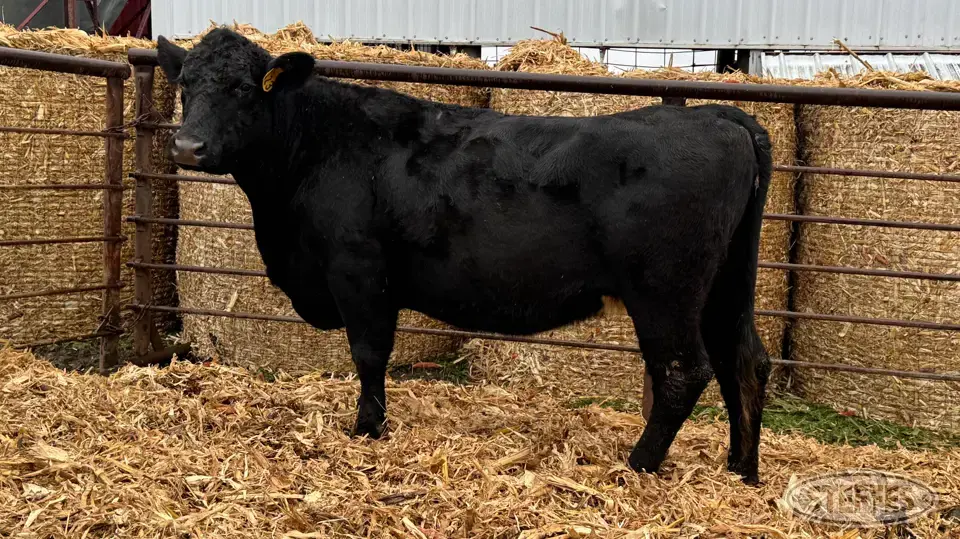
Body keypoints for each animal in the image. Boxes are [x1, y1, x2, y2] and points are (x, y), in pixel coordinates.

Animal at [155, 28, 773, 483]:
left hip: (664, 291)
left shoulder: (358, 271)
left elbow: (369, 353)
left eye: (243, 88)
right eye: (184, 83)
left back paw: (637, 465)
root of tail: (716, 115)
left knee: (684, 371)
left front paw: (367, 429)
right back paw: (741, 469)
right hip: (723, 287)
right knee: (745, 361)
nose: (186, 146)